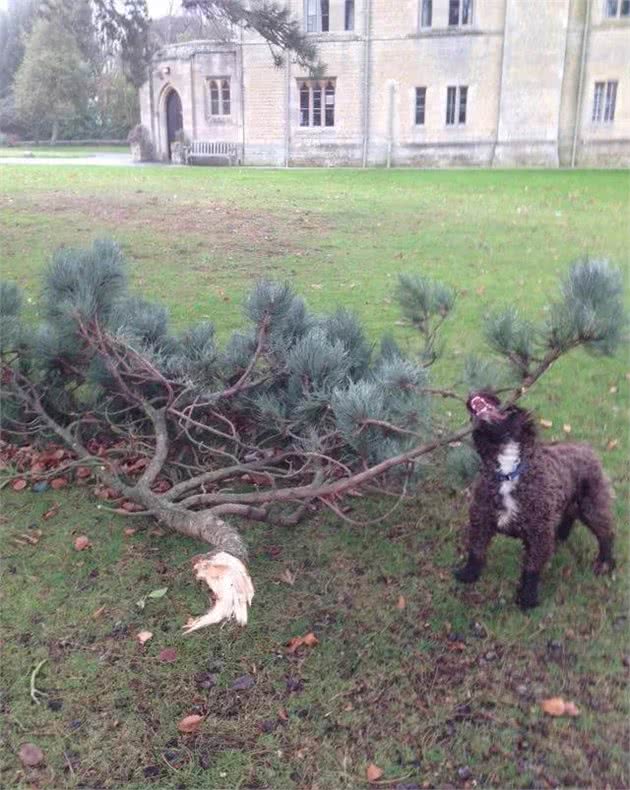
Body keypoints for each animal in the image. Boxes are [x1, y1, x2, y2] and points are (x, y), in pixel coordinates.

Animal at [454, 392, 616, 608]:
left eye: (512, 408)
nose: (478, 393)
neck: (508, 472)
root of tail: (586, 447)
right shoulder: (481, 520)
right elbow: (476, 551)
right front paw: (468, 574)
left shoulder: (538, 535)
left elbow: (531, 569)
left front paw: (528, 597)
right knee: (569, 517)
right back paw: (560, 537)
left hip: (591, 506)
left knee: (606, 534)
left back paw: (605, 563)